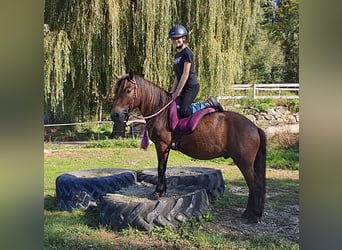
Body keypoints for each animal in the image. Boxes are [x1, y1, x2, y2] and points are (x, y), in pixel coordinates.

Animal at [111, 72, 266, 223]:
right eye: (116, 90)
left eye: (128, 90)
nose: (115, 115)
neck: (161, 113)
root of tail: (254, 127)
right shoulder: (166, 148)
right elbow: (164, 168)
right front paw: (163, 190)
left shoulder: (161, 145)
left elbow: (160, 168)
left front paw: (158, 192)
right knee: (254, 185)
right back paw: (250, 213)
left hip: (243, 162)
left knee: (255, 185)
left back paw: (253, 216)